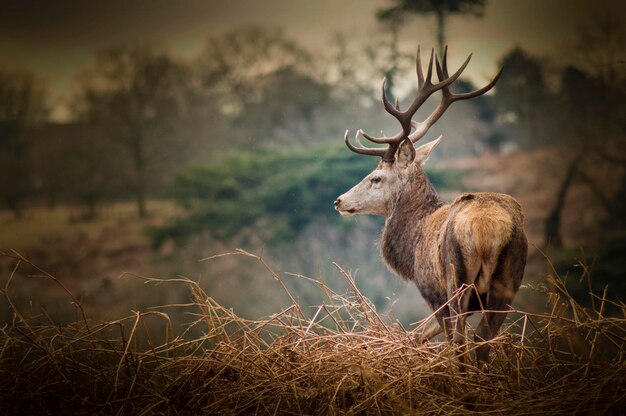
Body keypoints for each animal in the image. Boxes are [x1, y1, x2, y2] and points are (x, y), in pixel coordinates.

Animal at [332, 46, 528, 364]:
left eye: (376, 178)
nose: (338, 201)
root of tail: (486, 229)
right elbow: (418, 333)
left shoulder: (431, 290)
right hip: (509, 280)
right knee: (482, 342)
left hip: (456, 279)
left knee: (460, 343)